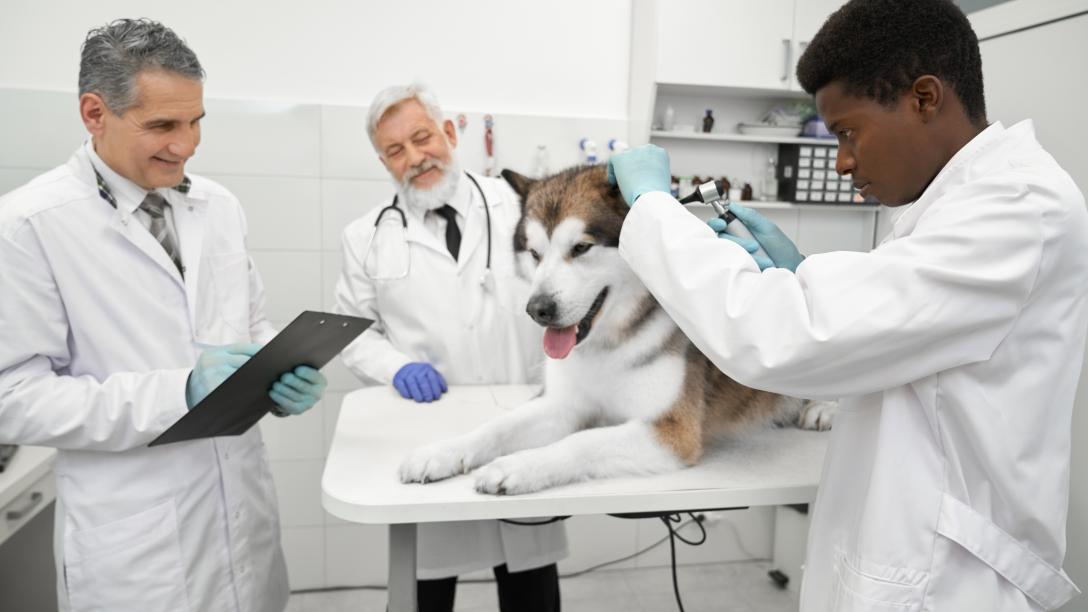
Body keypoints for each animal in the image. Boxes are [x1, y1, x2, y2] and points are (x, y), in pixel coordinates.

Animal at [400, 164, 831, 492]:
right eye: (535, 254)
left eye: (580, 248)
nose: (538, 309)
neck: (608, 345)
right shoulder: (563, 403)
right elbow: (496, 427)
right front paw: (440, 452)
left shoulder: (672, 432)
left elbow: (581, 442)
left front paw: (517, 466)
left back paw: (821, 408)